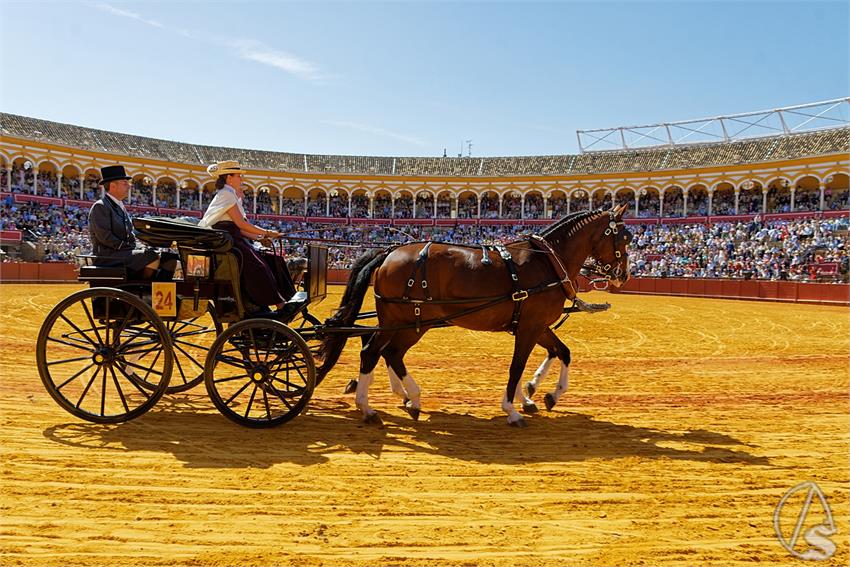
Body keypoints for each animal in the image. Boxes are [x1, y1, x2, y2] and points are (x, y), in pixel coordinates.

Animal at [316, 204, 628, 426]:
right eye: (624, 238)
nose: (623, 276)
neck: (547, 262)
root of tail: (389, 252)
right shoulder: (530, 326)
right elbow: (517, 366)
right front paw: (513, 409)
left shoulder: (536, 325)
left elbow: (562, 352)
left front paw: (543, 394)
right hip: (404, 320)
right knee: (373, 352)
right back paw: (370, 407)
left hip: (408, 321)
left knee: (388, 352)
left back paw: (409, 398)